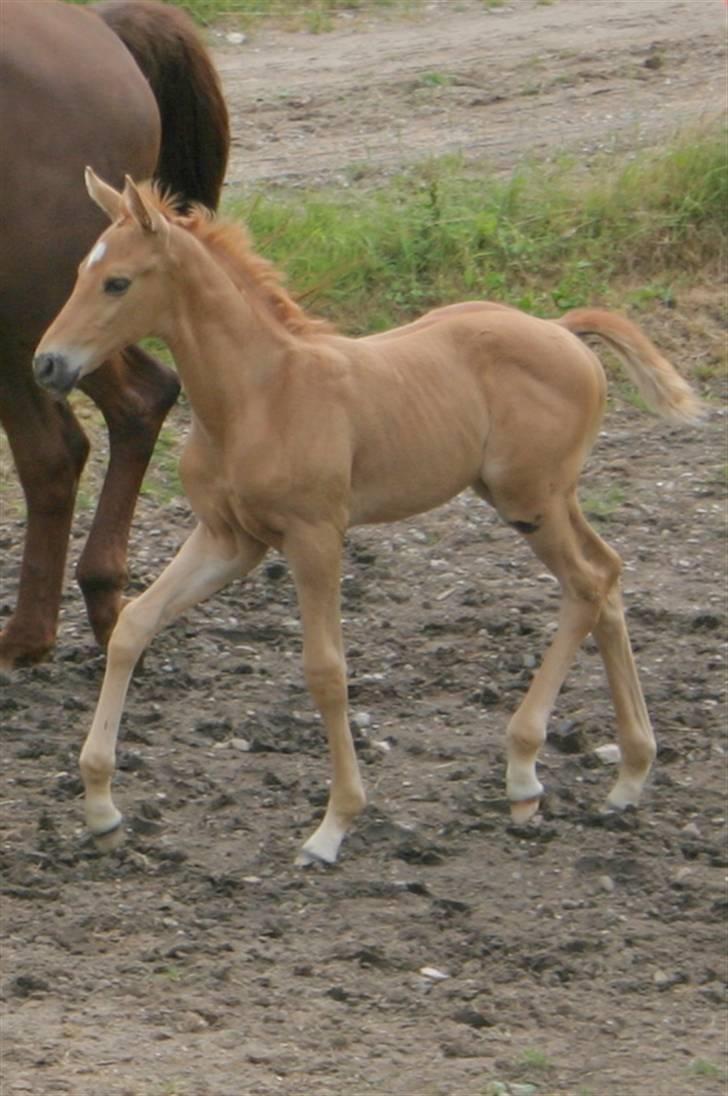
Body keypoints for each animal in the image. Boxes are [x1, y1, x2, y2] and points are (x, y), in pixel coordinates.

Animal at [32, 175, 701, 868]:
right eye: (81, 272)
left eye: (117, 282)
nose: (47, 364)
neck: (258, 395)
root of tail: (562, 328)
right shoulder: (228, 539)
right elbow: (134, 625)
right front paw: (101, 808)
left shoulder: (315, 536)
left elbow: (326, 671)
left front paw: (333, 825)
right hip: (536, 497)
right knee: (607, 576)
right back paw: (628, 775)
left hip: (529, 499)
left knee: (587, 585)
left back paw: (524, 772)